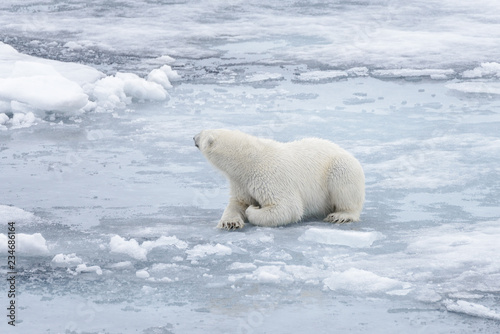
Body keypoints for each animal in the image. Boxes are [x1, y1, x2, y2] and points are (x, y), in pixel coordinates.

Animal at [194, 130, 364, 230]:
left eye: (202, 133)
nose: (193, 137)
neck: (248, 161)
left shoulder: (270, 177)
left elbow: (287, 207)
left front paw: (253, 209)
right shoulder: (241, 182)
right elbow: (237, 203)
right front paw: (230, 222)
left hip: (340, 168)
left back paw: (340, 215)